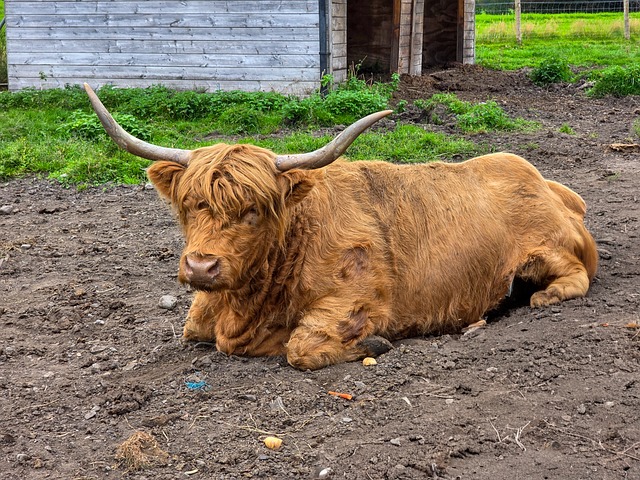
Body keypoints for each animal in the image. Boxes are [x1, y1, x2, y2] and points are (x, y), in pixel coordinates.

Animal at [84, 83, 598, 370]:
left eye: (255, 210)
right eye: (191, 206)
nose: (201, 267)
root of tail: (542, 180)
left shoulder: (357, 300)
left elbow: (301, 347)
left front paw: (372, 343)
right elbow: (193, 328)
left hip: (548, 252)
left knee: (576, 275)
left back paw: (541, 296)